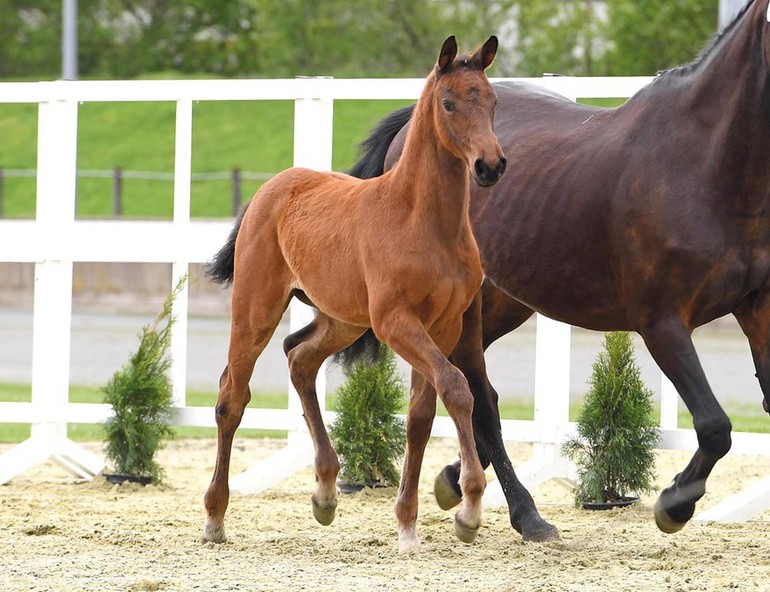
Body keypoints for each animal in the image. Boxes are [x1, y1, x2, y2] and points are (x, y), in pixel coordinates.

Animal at [202, 35, 504, 556]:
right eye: (448, 103)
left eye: (492, 101)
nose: (490, 165)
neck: (423, 220)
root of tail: (269, 188)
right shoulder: (396, 322)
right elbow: (457, 388)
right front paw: (468, 509)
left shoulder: (442, 325)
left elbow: (421, 416)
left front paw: (408, 525)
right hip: (256, 310)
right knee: (231, 398)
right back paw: (215, 518)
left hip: (342, 319)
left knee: (299, 357)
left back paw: (325, 493)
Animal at [346, 0, 770, 540]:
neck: (705, 166)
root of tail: (407, 130)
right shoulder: (662, 322)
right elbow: (715, 427)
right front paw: (674, 504)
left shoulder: (758, 310)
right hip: (465, 309)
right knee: (480, 398)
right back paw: (525, 514)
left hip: (499, 305)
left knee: (453, 388)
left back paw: (454, 481)